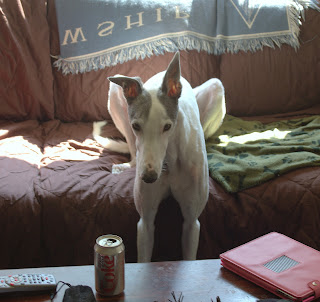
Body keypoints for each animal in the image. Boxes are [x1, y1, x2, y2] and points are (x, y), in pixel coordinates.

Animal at [94, 52, 226, 262]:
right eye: (136, 126)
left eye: (167, 127)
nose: (149, 177)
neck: (169, 161)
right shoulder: (145, 222)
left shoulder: (192, 222)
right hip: (115, 94)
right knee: (133, 154)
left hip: (216, 87)